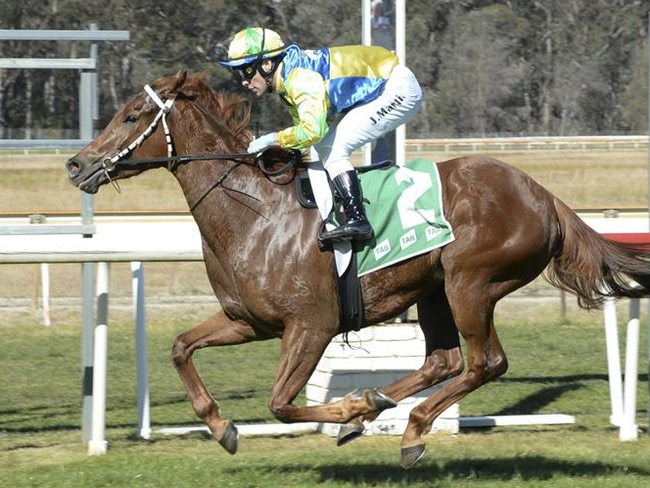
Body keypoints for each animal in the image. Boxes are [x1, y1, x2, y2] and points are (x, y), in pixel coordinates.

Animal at [66, 70, 650, 468]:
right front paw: (221, 426)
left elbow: (280, 403)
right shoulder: (247, 321)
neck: (255, 211)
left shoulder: (312, 325)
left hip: (472, 284)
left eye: (132, 116)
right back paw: (383, 402)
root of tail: (543, 196)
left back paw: (406, 425)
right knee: (443, 361)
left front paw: (346, 413)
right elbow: (181, 347)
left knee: (486, 362)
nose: (76, 164)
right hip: (433, 289)